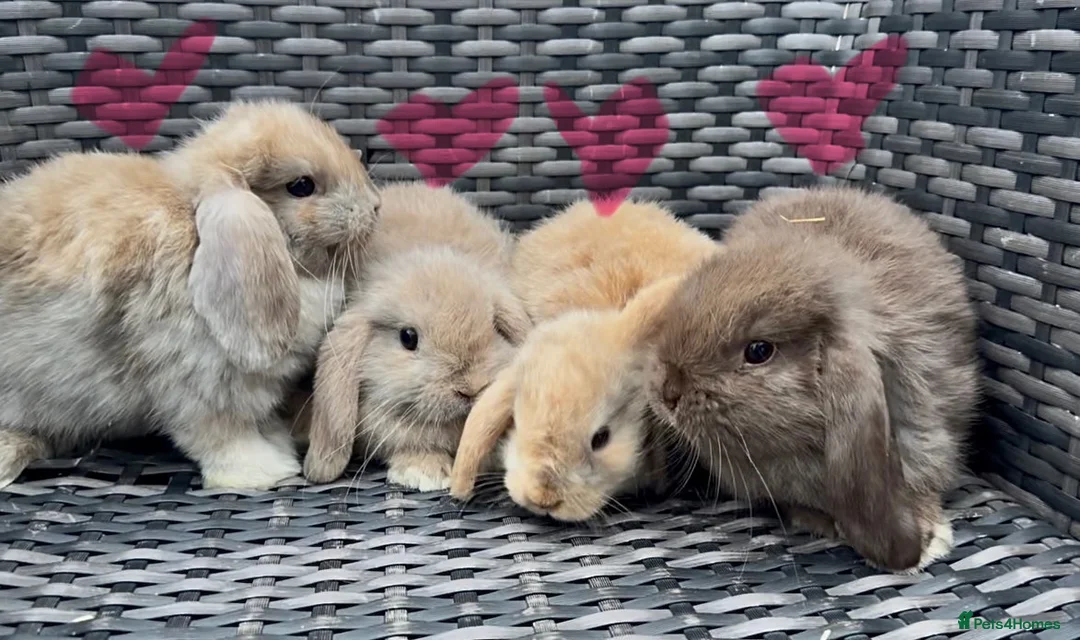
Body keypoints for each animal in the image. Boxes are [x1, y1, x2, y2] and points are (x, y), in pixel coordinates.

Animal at [0, 99, 382, 491]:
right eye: (302, 186)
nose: (374, 206)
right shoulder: (196, 386)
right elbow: (220, 436)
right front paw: (264, 469)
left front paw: (276, 440)